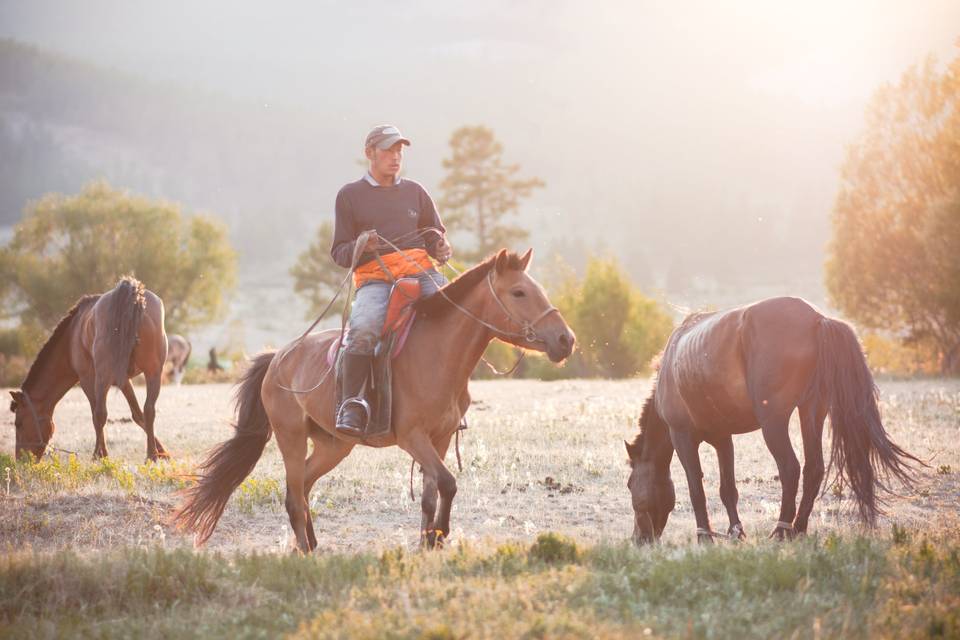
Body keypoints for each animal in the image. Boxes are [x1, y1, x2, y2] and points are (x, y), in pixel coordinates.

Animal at [8, 278, 170, 462]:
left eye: (18, 424)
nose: (20, 459)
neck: (71, 338)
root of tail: (133, 298)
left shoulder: (87, 379)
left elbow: (96, 414)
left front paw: (100, 454)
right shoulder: (123, 380)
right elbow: (138, 414)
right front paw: (162, 451)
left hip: (103, 377)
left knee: (101, 413)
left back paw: (100, 455)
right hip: (153, 372)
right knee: (149, 409)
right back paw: (151, 455)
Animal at [173, 249, 572, 552]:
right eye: (519, 292)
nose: (566, 339)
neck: (436, 355)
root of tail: (278, 358)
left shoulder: (440, 438)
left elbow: (431, 493)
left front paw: (428, 542)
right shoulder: (412, 437)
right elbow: (448, 483)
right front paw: (439, 536)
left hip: (334, 445)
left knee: (304, 485)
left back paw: (313, 542)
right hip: (290, 436)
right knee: (294, 493)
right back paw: (304, 550)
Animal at [628, 298, 920, 544]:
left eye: (630, 485)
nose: (639, 540)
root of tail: (817, 319)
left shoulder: (682, 436)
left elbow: (695, 488)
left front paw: (705, 537)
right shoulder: (723, 439)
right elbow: (728, 489)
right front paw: (736, 532)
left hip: (774, 423)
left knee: (790, 468)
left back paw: (782, 530)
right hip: (811, 410)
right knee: (814, 468)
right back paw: (798, 528)